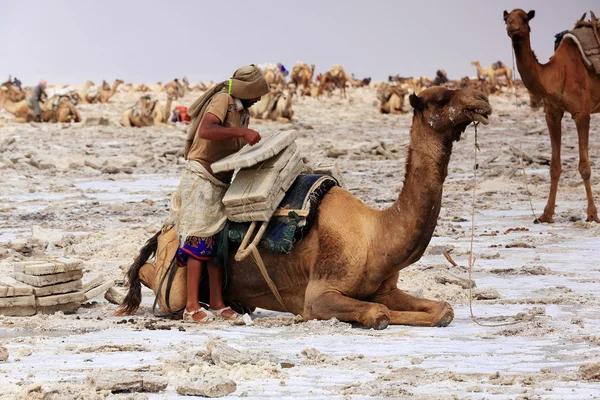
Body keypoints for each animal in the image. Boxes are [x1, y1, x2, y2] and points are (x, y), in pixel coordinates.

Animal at [118, 86, 492, 328]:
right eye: (441, 98)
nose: (483, 100)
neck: (375, 235)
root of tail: (165, 230)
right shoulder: (319, 294)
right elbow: (378, 314)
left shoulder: (386, 287)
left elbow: (442, 309)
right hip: (175, 279)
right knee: (155, 277)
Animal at [506, 8, 600, 222]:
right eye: (506, 18)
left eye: (525, 18)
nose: (511, 27)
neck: (558, 73)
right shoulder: (552, 114)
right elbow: (554, 166)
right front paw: (546, 214)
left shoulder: (582, 113)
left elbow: (584, 168)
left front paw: (592, 215)